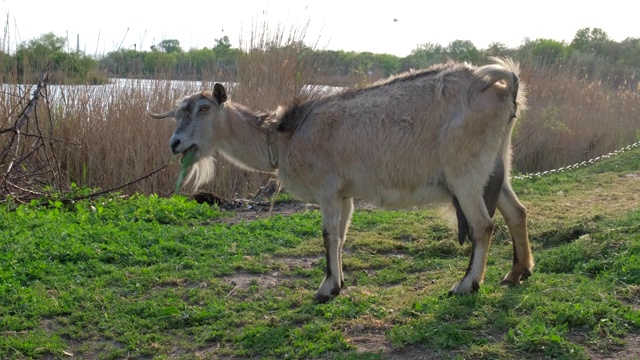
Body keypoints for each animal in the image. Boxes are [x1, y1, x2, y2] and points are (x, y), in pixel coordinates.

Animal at [151, 57, 536, 304]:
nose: (175, 144)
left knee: (483, 225)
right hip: (496, 165)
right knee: (516, 212)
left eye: (203, 109)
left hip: (464, 171)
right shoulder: (345, 193)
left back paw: (466, 285)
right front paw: (338, 282)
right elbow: (342, 236)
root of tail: (505, 88)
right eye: (178, 113)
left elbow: (328, 235)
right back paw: (517, 273)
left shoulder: (327, 189)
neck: (284, 136)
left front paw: (326, 289)